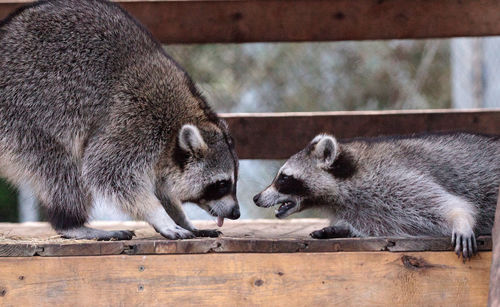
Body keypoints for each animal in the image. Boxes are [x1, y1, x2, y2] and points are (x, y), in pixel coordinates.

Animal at [0, 0, 240, 241]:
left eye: (233, 180)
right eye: (221, 184)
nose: (236, 213)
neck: (179, 123)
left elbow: (161, 188)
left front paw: (181, 218)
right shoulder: (134, 122)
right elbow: (107, 171)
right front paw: (159, 216)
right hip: (23, 114)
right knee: (62, 167)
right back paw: (71, 223)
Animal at [254, 133, 500, 260]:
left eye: (283, 178)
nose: (256, 198)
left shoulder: (395, 180)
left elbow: (447, 204)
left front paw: (460, 218)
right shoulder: (368, 210)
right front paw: (343, 228)